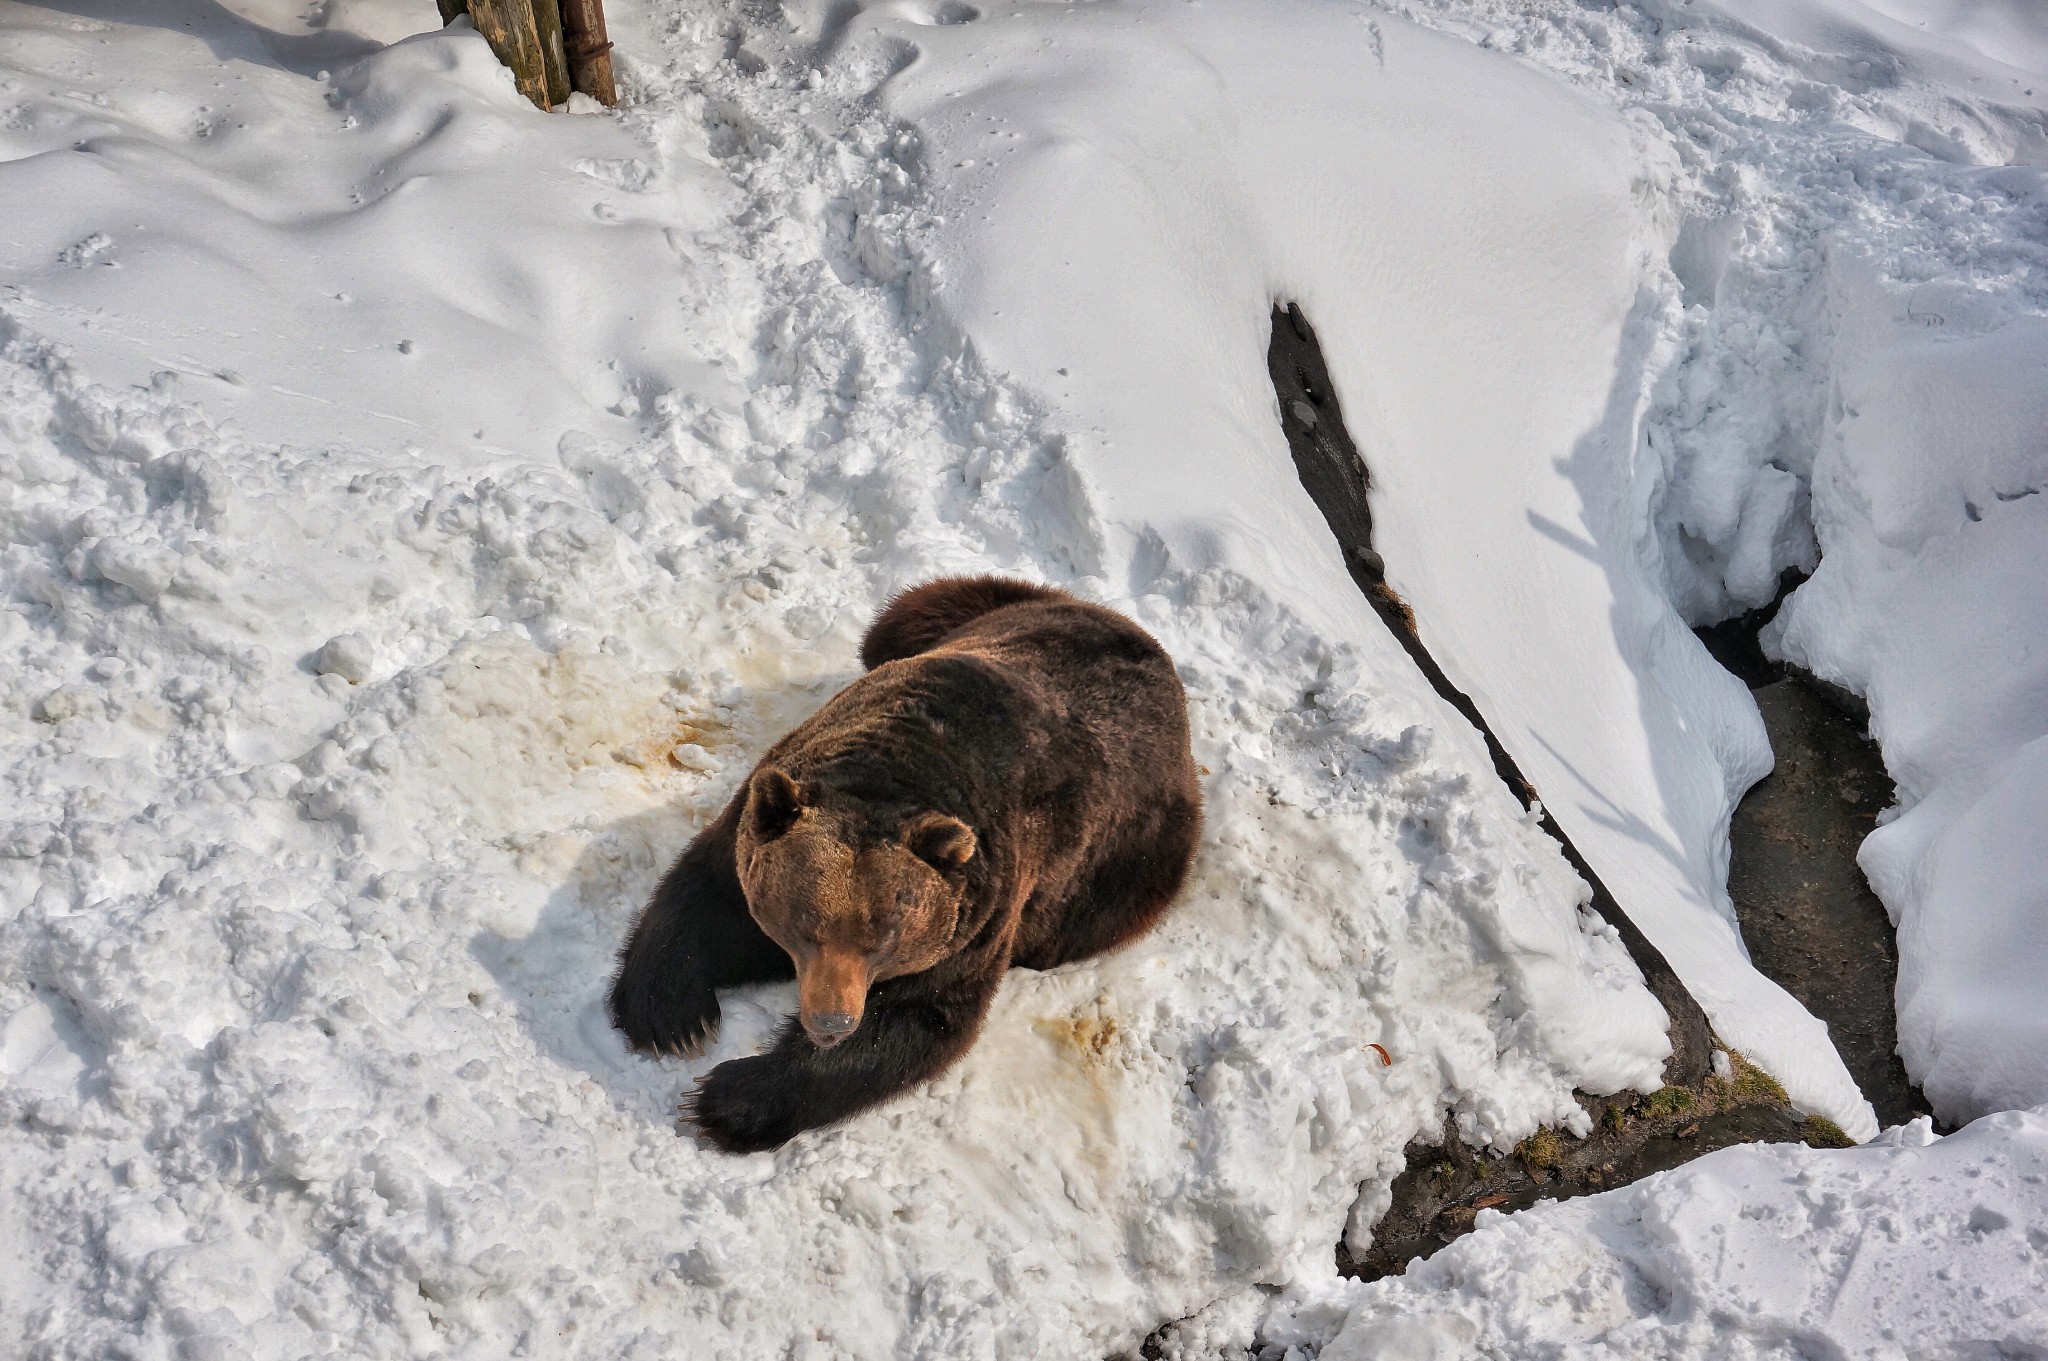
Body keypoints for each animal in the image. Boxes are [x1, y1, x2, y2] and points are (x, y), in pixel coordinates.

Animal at [614, 573, 1204, 1146]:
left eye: (885, 939)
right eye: (804, 924)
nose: (831, 1021)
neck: (897, 772)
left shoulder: (983, 910)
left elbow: (919, 1016)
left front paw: (724, 1098)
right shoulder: (763, 814)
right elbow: (707, 897)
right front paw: (674, 1020)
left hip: (1132, 862)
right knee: (897, 621)